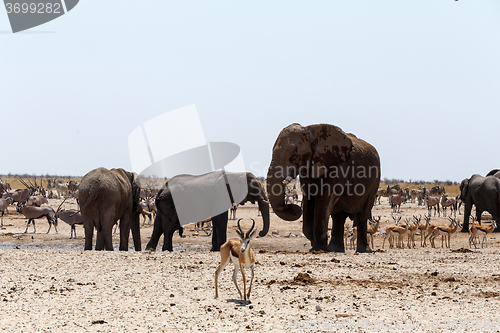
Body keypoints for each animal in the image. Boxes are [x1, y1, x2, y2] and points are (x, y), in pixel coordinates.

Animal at [268, 124, 380, 252]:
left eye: (294, 155)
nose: (294, 208)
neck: (311, 133)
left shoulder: (337, 168)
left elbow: (324, 201)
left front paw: (318, 248)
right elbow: (309, 200)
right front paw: (315, 246)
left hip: (374, 183)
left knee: (362, 214)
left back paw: (363, 250)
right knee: (338, 216)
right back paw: (335, 249)